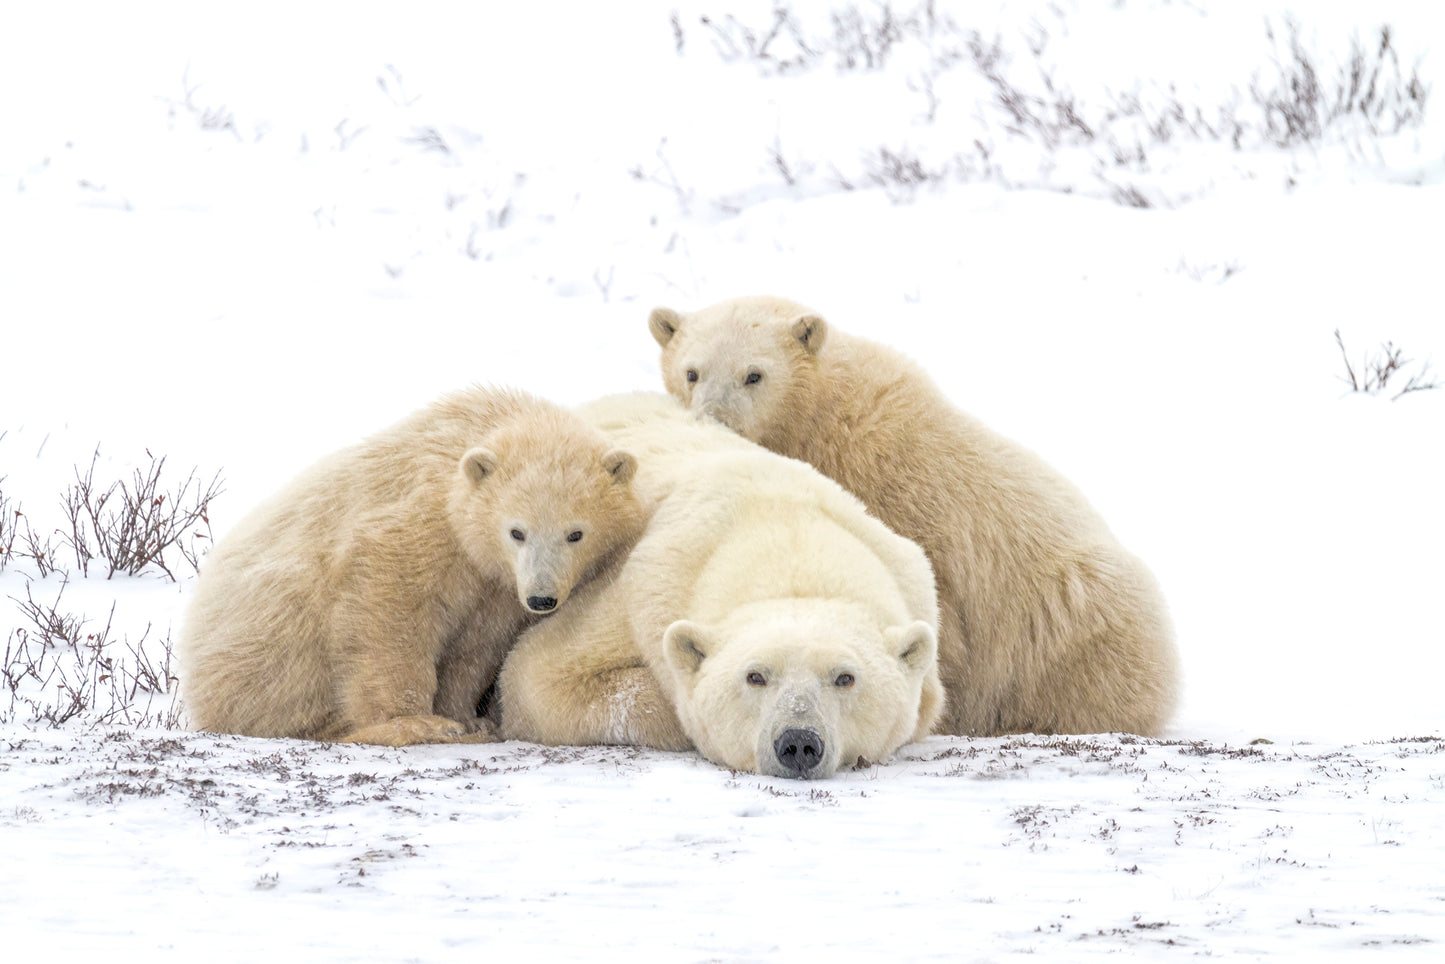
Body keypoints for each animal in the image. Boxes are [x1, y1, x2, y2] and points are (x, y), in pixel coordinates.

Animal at [497, 396, 942, 780]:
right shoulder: (643, 588)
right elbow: (535, 674)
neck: (783, 533)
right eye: (755, 676)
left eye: (845, 677)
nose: (798, 743)